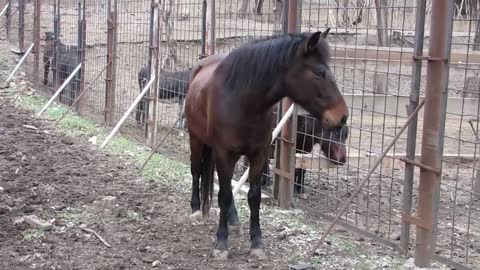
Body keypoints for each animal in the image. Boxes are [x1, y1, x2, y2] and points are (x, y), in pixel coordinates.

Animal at [186, 30, 346, 260]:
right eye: (319, 72)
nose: (343, 116)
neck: (244, 103)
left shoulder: (258, 154)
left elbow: (254, 196)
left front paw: (257, 243)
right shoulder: (224, 152)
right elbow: (223, 195)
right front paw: (221, 243)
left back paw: (233, 219)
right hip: (196, 139)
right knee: (197, 171)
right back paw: (196, 209)